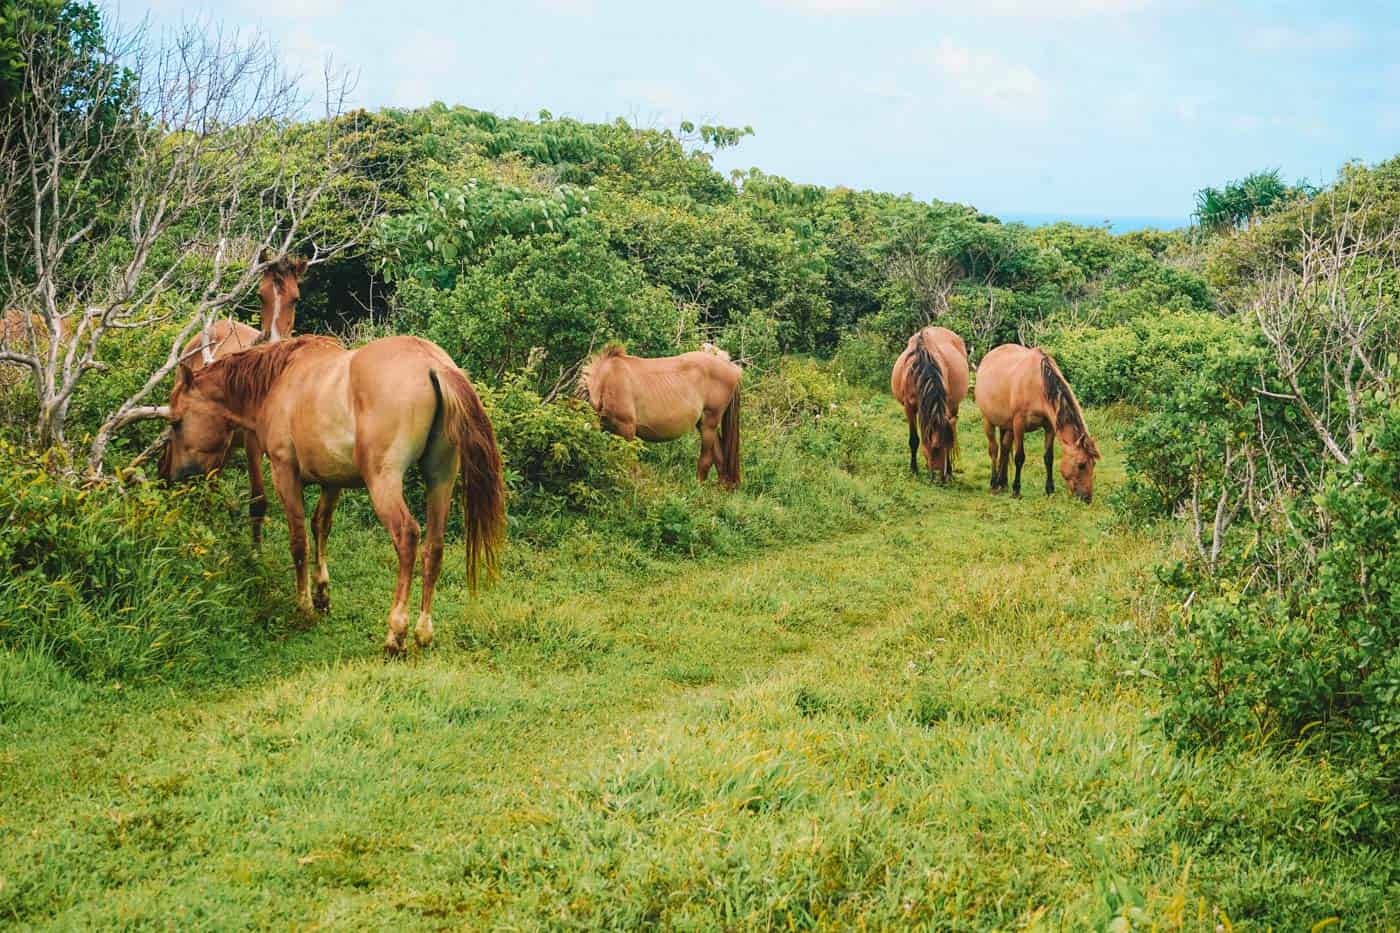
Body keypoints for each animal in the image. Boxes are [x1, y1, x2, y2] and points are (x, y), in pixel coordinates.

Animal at [161, 334, 506, 652]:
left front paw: (304, 607)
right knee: (433, 546)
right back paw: (423, 633)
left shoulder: (284, 472)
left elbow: (299, 541)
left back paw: (395, 633)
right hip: (441, 478)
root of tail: (434, 365)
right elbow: (320, 527)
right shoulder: (333, 481)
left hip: (384, 482)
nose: (166, 475)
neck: (280, 380)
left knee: (407, 537)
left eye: (176, 422)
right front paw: (322, 595)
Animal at [164, 254, 309, 546]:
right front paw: (254, 552)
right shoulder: (252, 443)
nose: (275, 342)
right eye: (261, 295)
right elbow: (258, 500)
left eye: (295, 298)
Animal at [576, 341, 744, 487]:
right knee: (720, 458)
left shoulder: (626, 429)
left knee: (707, 460)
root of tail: (732, 368)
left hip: (709, 423)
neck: (607, 381)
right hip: (704, 424)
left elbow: (629, 465)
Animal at [890, 326, 968, 481]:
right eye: (936, 447)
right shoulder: (909, 408)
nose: (941, 477)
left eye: (947, 446)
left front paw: (949, 471)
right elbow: (914, 440)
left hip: (954, 406)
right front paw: (914, 469)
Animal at [968, 341, 1097, 501]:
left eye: (1093, 464)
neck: (1038, 385)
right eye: (1081, 465)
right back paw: (994, 483)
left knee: (1004, 449)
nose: (1087, 498)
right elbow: (1019, 457)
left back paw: (1002, 483)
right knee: (994, 449)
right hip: (989, 421)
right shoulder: (1019, 424)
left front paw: (1050, 490)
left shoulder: (1049, 427)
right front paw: (1016, 490)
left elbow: (1048, 457)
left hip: (1007, 426)